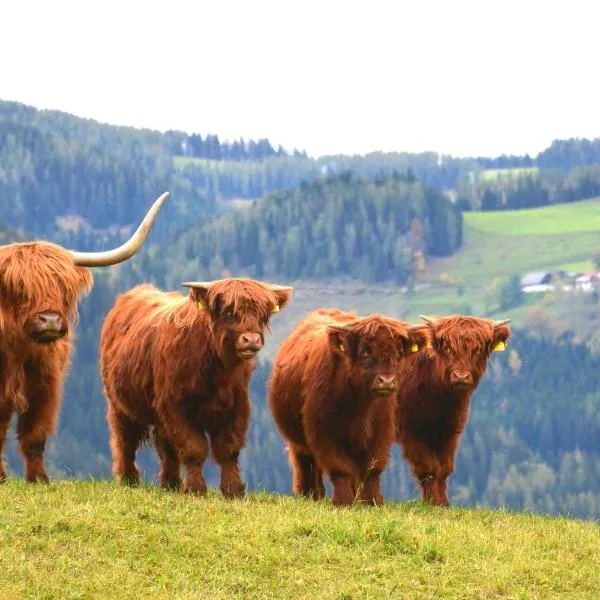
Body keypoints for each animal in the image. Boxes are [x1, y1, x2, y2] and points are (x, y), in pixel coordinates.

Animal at [0, 192, 170, 482]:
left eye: (62, 287)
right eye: (19, 288)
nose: (50, 320)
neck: (18, 353)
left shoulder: (46, 385)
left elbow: (35, 435)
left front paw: (39, 479)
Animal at [98, 276, 292, 496]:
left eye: (261, 314)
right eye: (228, 312)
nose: (251, 340)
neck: (217, 371)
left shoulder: (236, 407)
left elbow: (228, 448)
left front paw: (233, 490)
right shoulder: (177, 407)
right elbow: (193, 448)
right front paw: (195, 488)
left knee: (165, 445)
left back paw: (171, 484)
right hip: (121, 404)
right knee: (125, 440)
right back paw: (129, 479)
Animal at [268, 310, 426, 506]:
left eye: (398, 353)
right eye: (365, 351)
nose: (387, 381)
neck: (361, 405)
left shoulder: (380, 432)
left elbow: (371, 469)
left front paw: (372, 501)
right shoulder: (323, 432)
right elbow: (339, 468)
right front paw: (343, 501)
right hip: (297, 438)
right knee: (305, 462)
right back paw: (311, 493)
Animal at [396, 314, 508, 506]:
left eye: (477, 349)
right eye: (448, 349)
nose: (461, 377)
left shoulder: (450, 430)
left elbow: (444, 468)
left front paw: (444, 504)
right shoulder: (412, 430)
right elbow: (429, 467)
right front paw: (432, 503)